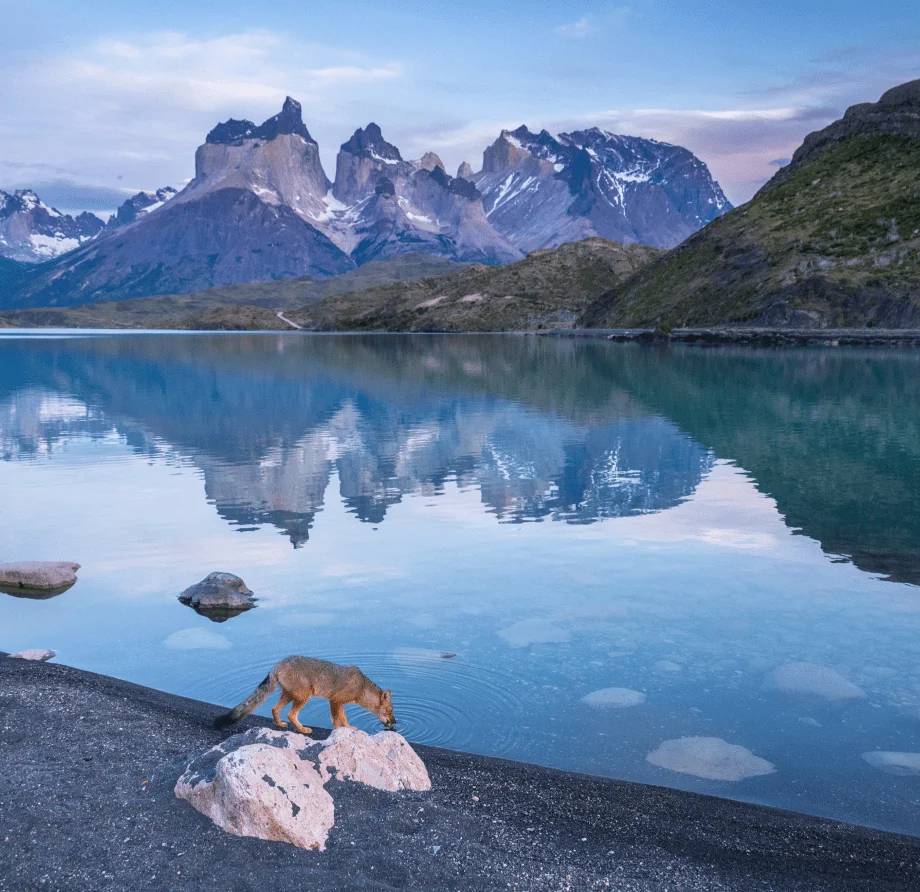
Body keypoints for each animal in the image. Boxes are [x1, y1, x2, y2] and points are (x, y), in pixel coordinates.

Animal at [214, 655, 396, 735]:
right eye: (390, 711)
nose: (395, 723)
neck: (362, 687)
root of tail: (277, 665)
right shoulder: (335, 701)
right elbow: (339, 719)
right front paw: (343, 730)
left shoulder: (338, 702)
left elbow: (341, 718)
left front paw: (345, 729)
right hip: (304, 696)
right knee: (291, 714)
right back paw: (302, 729)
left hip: (289, 695)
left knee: (275, 709)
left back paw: (280, 724)